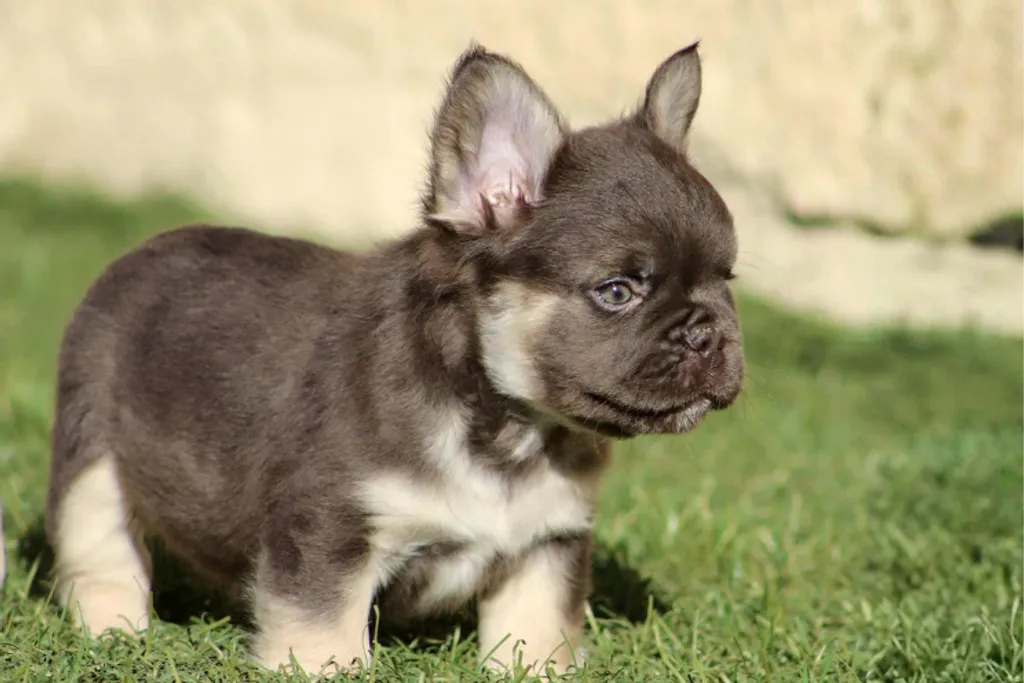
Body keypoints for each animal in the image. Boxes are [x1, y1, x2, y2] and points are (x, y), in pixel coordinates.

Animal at [42, 41, 744, 677]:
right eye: (618, 291)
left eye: (726, 279)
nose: (707, 332)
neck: (504, 424)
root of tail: (138, 253)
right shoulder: (331, 531)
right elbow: (325, 641)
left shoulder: (547, 544)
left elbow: (535, 637)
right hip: (92, 456)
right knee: (101, 554)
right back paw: (116, 634)